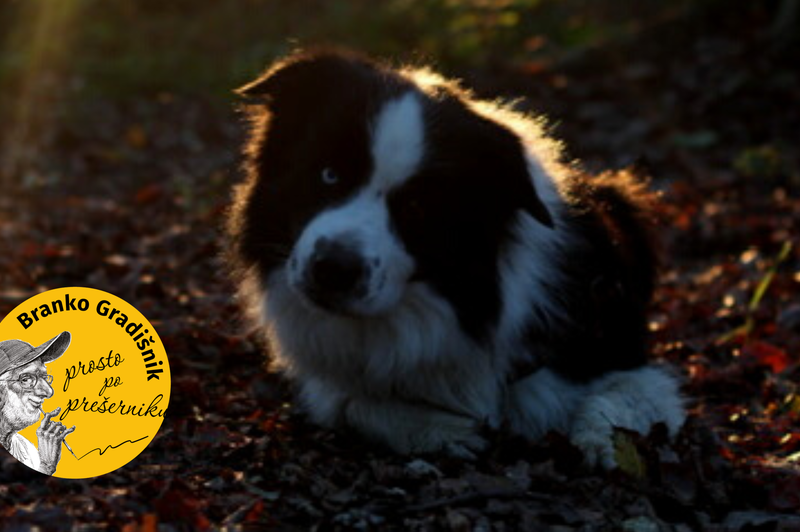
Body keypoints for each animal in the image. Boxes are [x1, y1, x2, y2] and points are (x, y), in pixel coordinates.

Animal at [225, 47, 680, 468]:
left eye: (417, 208)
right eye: (329, 174)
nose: (333, 270)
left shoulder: (621, 354)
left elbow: (620, 400)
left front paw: (606, 445)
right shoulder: (333, 383)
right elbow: (354, 404)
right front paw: (439, 429)